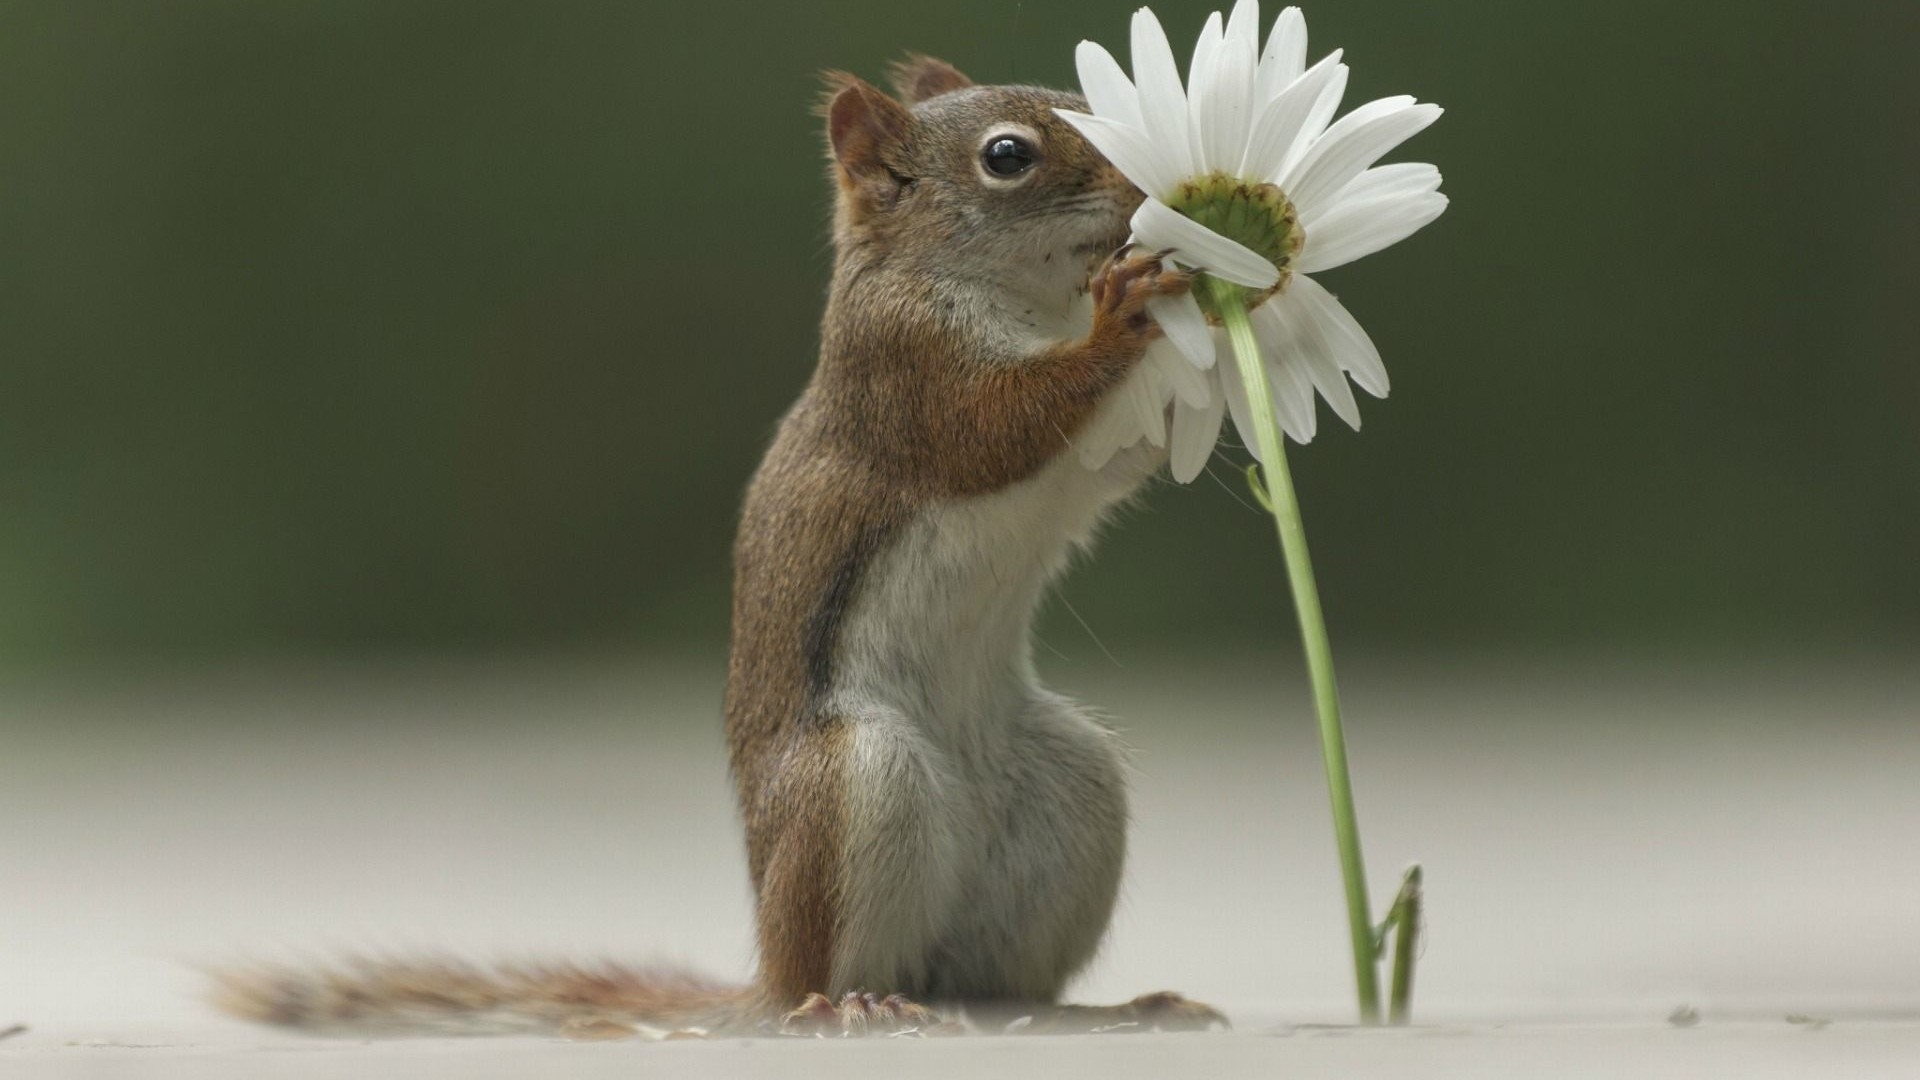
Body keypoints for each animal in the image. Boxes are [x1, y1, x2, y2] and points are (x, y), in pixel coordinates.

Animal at [211, 56, 1226, 1039]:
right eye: (1008, 156)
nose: (1145, 189)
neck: (1021, 298)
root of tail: (764, 982)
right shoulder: (906, 373)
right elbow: (999, 428)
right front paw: (1125, 314)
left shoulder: (1078, 443)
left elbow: (1121, 452)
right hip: (851, 783)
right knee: (829, 975)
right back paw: (851, 1006)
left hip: (1070, 792)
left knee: (996, 986)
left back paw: (1106, 1010)